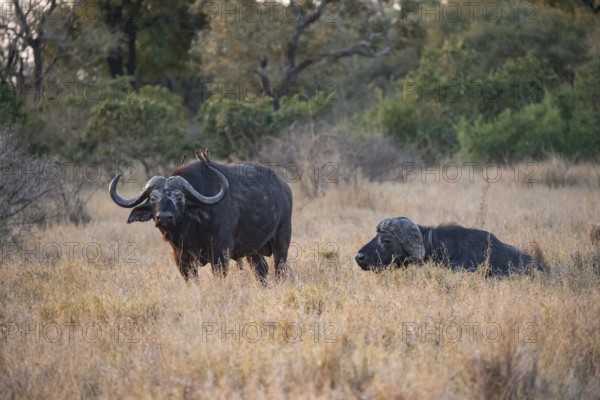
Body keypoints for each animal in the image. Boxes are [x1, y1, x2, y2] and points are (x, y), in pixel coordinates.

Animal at [111, 152, 294, 282]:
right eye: (153, 198)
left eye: (179, 197)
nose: (164, 217)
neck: (190, 230)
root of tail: (284, 188)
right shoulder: (181, 259)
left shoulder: (220, 256)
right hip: (253, 250)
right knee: (261, 269)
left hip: (281, 240)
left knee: (280, 269)